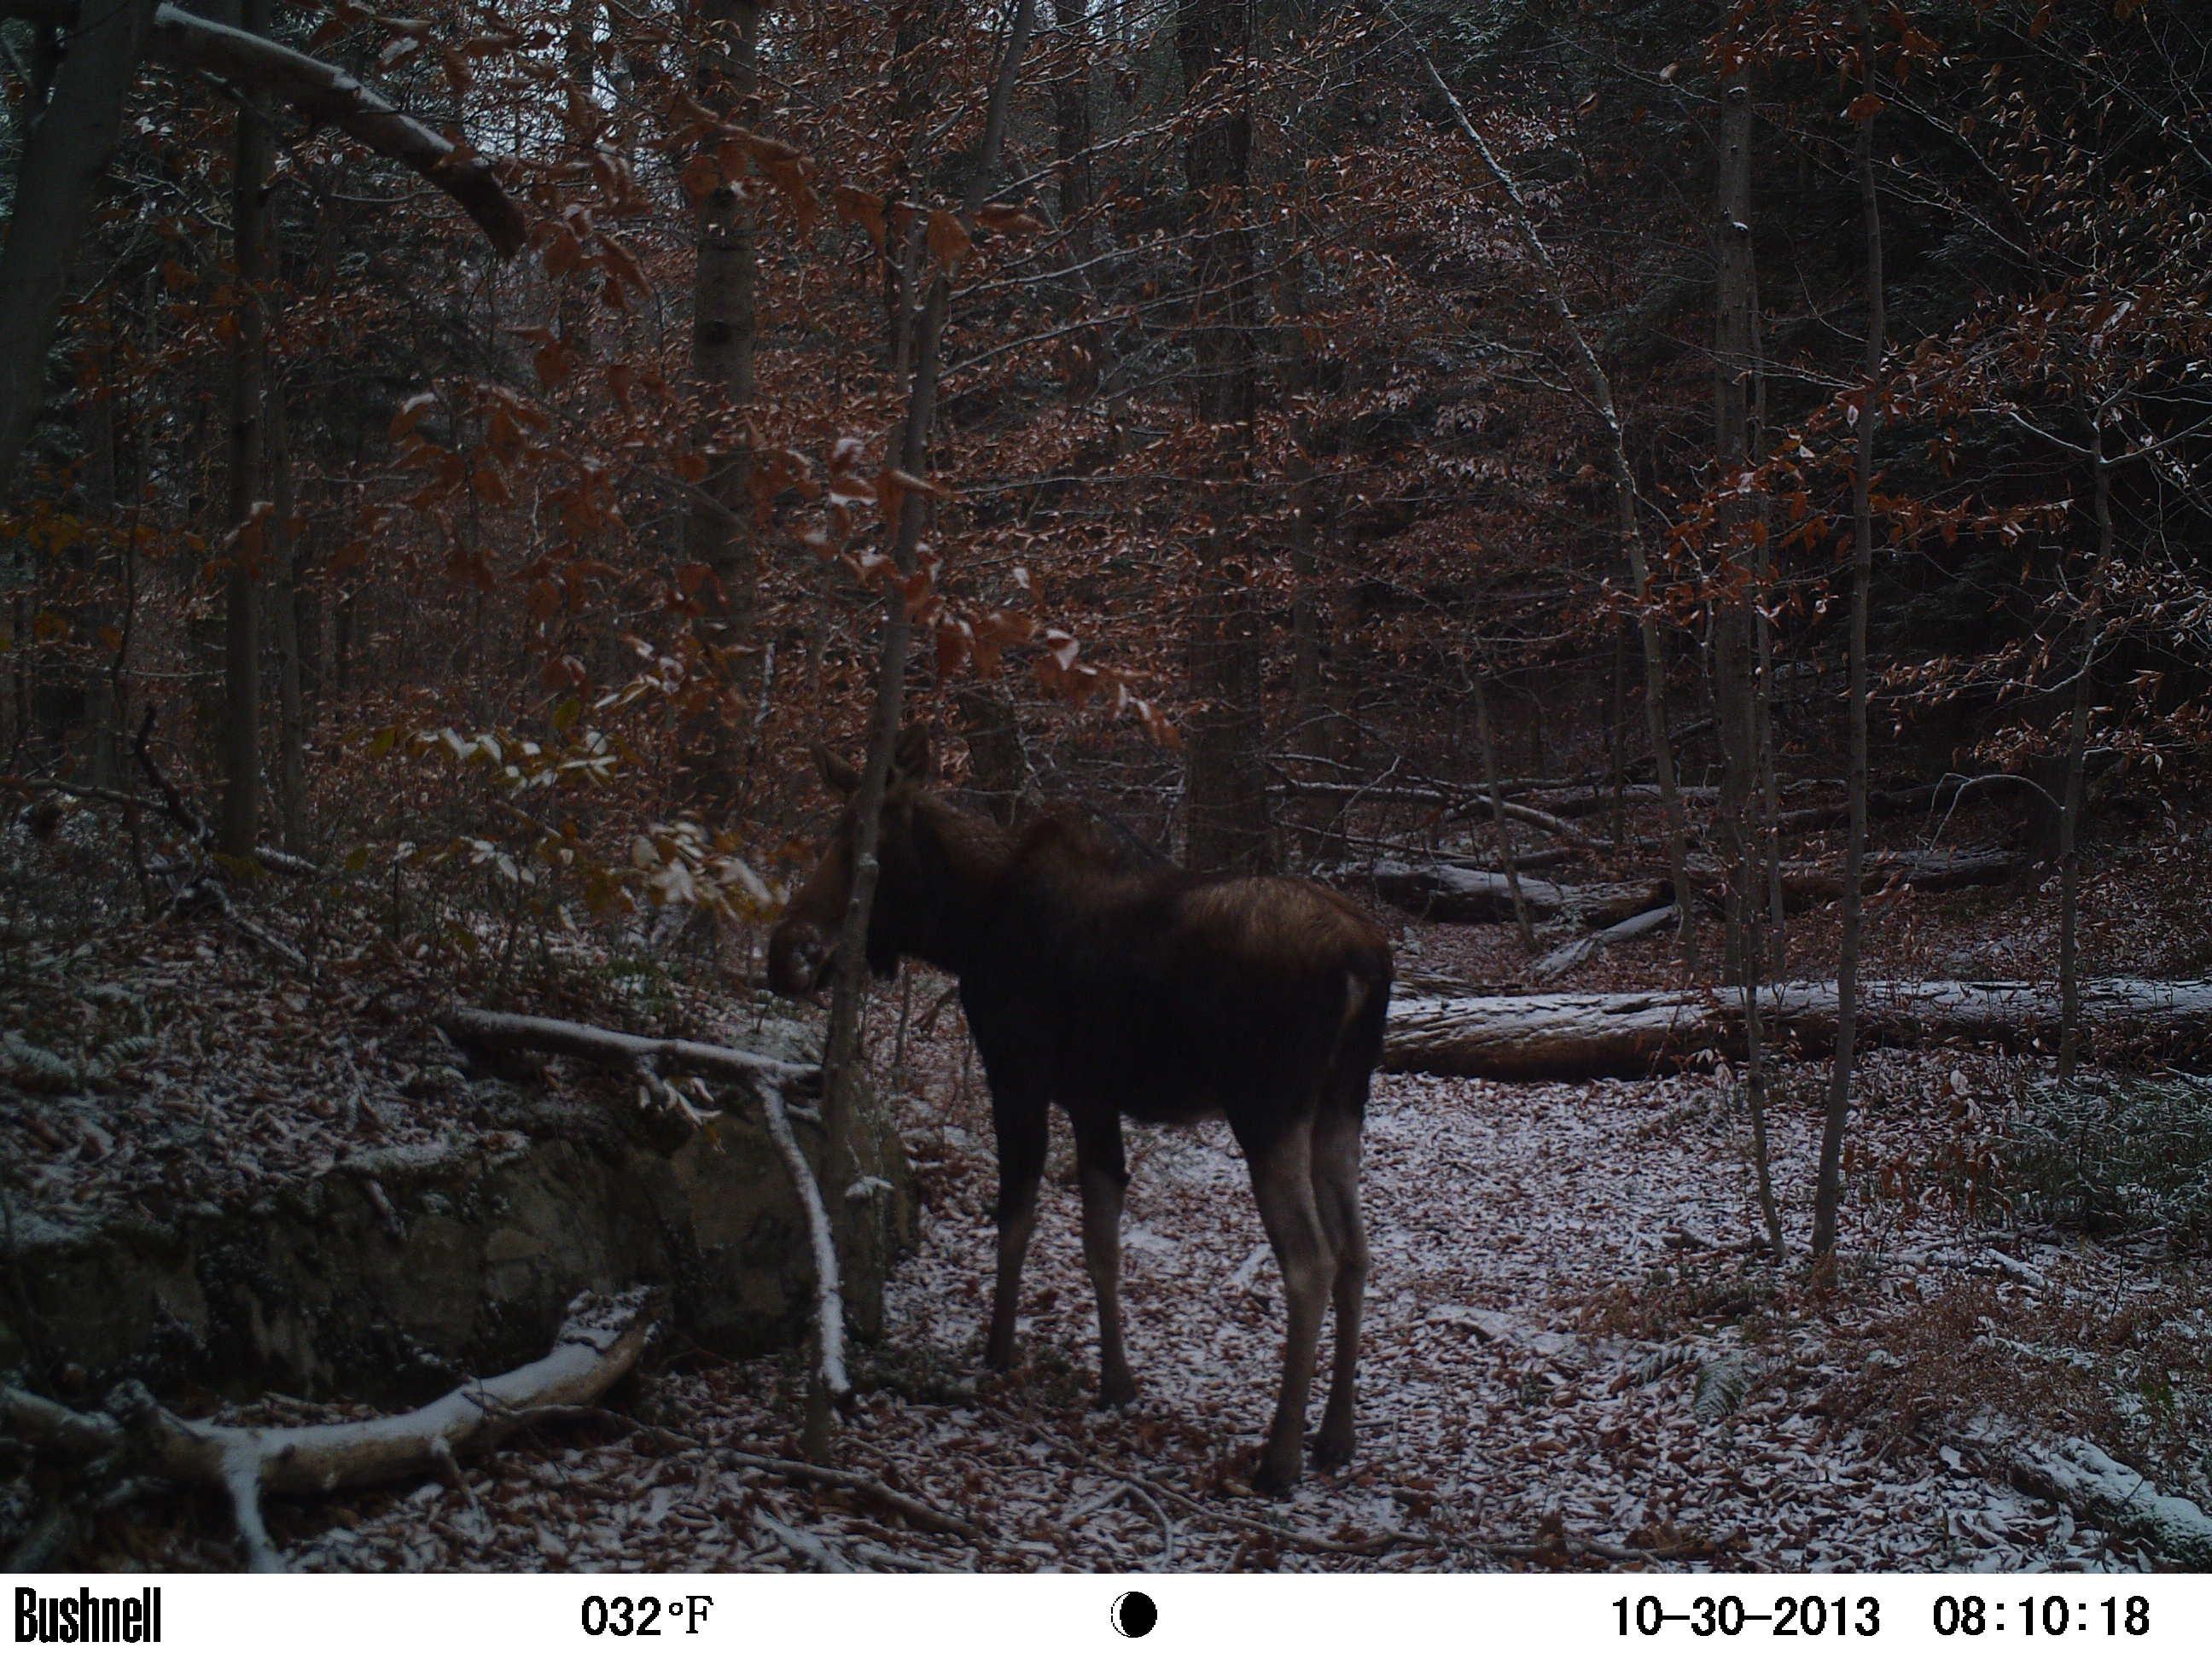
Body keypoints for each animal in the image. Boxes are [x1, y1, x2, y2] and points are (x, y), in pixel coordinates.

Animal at [766, 725, 1393, 1493]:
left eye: (863, 845)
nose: (786, 953)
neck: (964, 927)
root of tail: (1367, 965)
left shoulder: (1018, 1073)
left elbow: (1016, 1219)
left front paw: (997, 1349)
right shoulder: (1094, 1097)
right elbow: (1101, 1242)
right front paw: (1116, 1382)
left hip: (1268, 1110)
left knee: (1310, 1261)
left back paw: (1280, 1459)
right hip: (1343, 1105)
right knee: (1357, 1251)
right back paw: (1336, 1436)